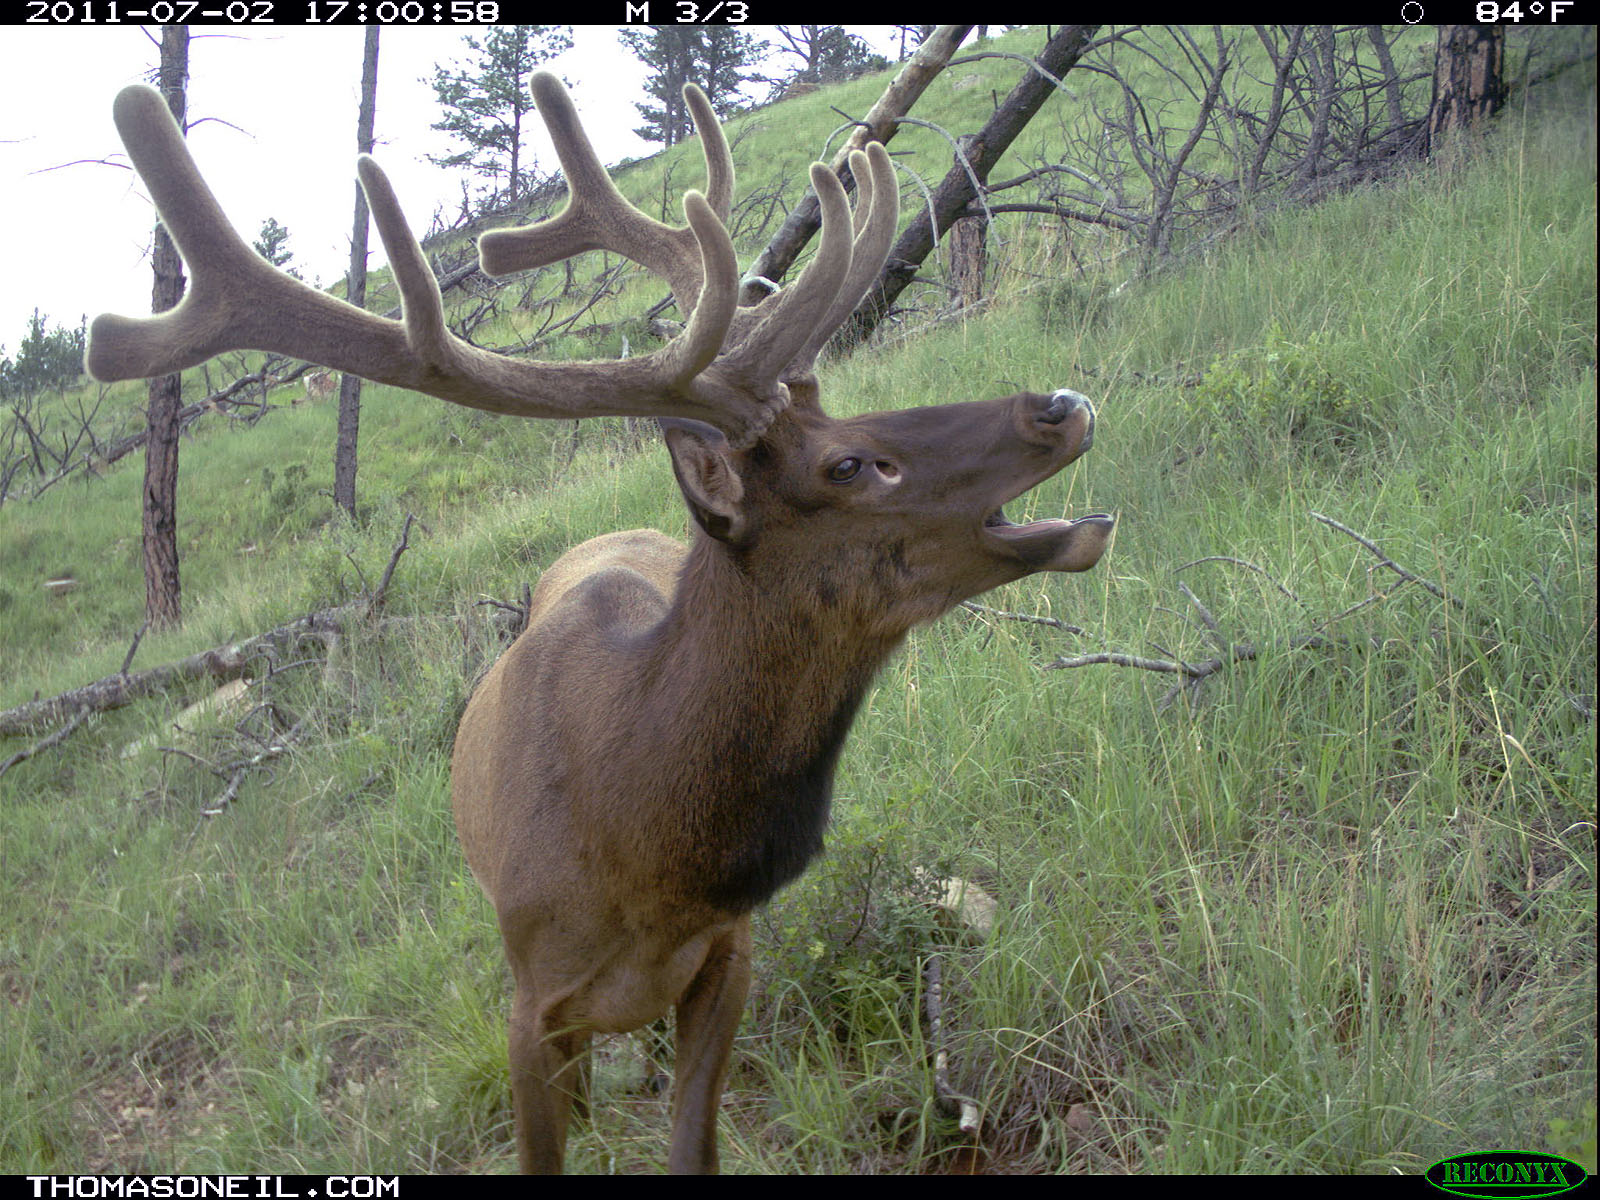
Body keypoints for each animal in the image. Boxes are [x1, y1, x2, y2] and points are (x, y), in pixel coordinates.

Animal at [87, 74, 1114, 1174]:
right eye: (846, 464)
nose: (1061, 403)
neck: (644, 851)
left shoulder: (729, 955)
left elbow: (693, 1146)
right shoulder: (529, 1005)